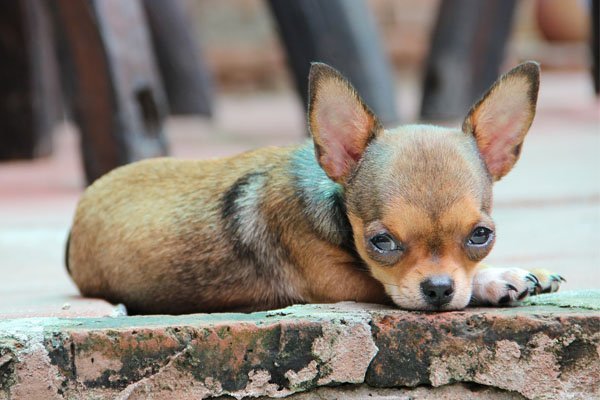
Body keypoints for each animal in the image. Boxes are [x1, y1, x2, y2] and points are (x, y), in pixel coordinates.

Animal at [68, 61, 564, 314]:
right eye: (381, 242)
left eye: (481, 236)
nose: (440, 289)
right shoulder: (339, 281)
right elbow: (385, 284)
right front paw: (495, 279)